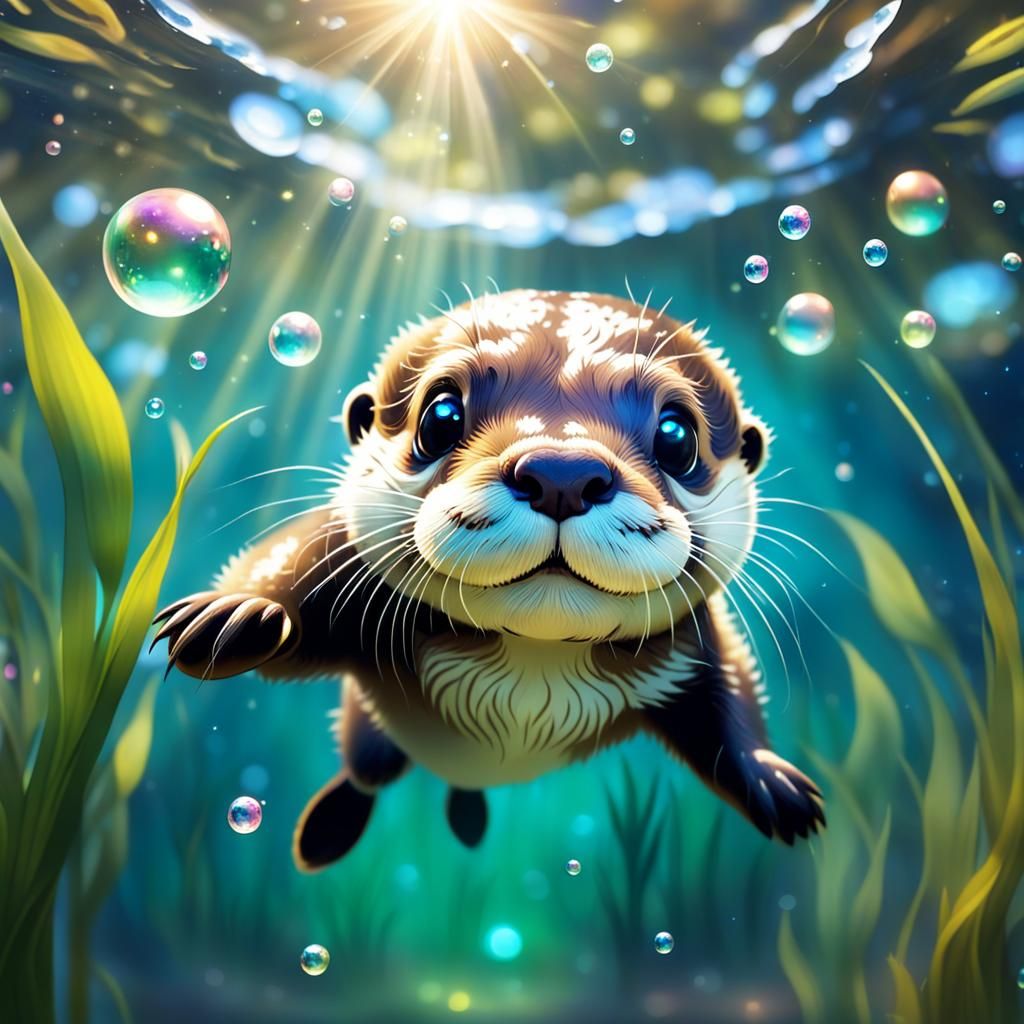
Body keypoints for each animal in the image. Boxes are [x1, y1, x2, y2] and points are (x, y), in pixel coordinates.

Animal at [153, 289, 824, 870]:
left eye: (676, 435)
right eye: (441, 416)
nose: (562, 473)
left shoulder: (693, 645)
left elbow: (728, 700)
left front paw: (772, 777)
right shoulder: (343, 577)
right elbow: (286, 567)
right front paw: (234, 614)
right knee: (365, 775)